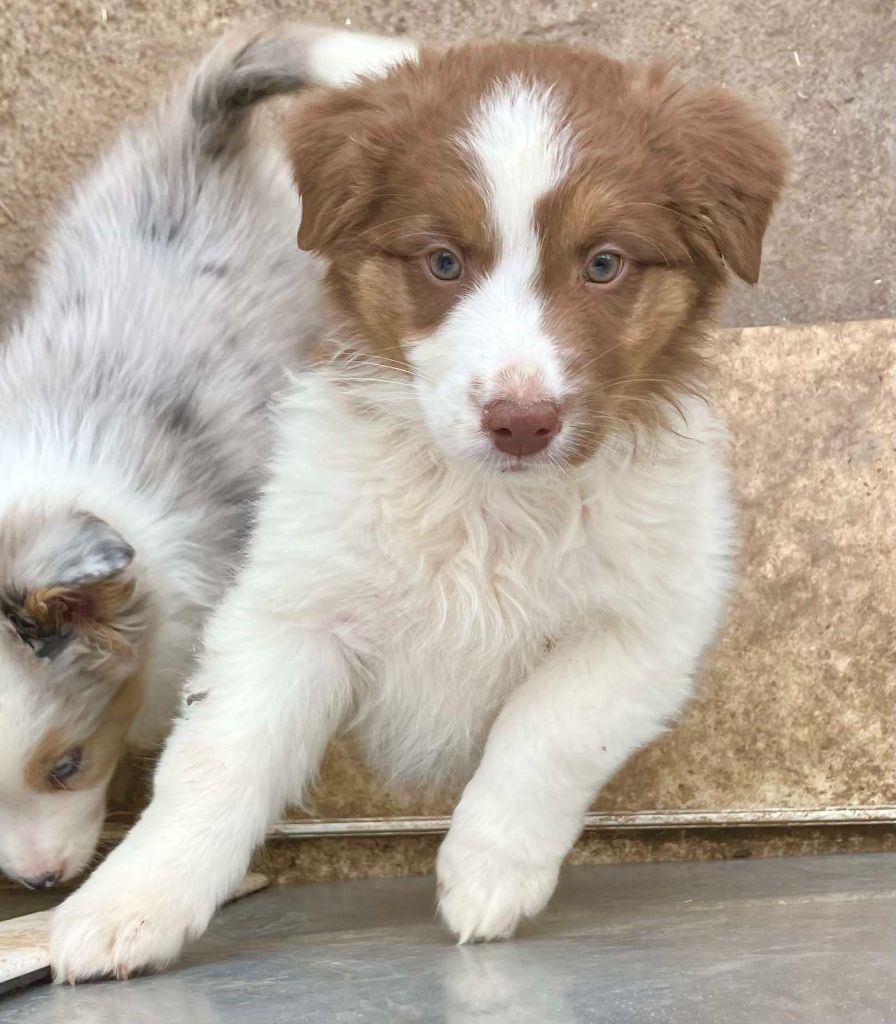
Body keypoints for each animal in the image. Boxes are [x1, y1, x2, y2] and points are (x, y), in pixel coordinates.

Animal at [51, 38, 785, 980]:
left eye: (604, 263)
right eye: (443, 262)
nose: (522, 422)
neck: (489, 504)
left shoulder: (645, 629)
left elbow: (548, 730)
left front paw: (486, 873)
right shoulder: (292, 609)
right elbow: (219, 758)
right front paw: (131, 902)